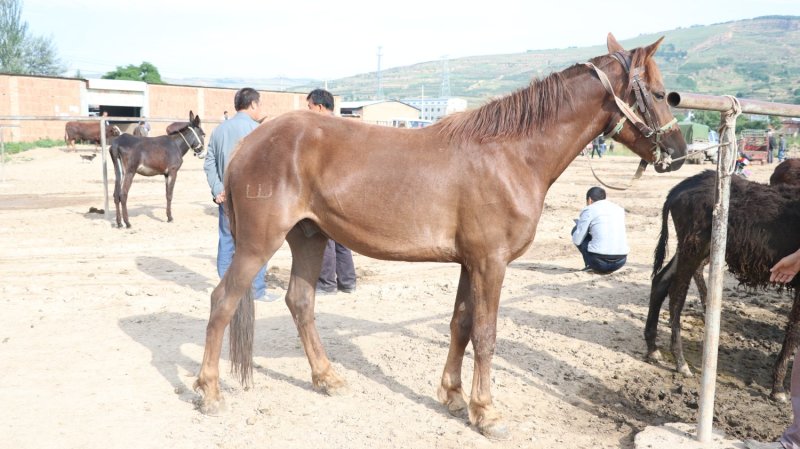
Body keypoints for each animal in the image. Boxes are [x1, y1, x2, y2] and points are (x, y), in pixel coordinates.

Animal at [193, 33, 687, 439]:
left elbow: (461, 325)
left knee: (300, 301)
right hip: (258, 244)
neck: (512, 154)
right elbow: (486, 334)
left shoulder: (471, 263)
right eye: (658, 93)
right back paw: (209, 391)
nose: (680, 153)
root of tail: (249, 142)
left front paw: (452, 396)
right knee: (223, 301)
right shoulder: (491, 262)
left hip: (309, 237)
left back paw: (327, 378)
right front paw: (486, 413)